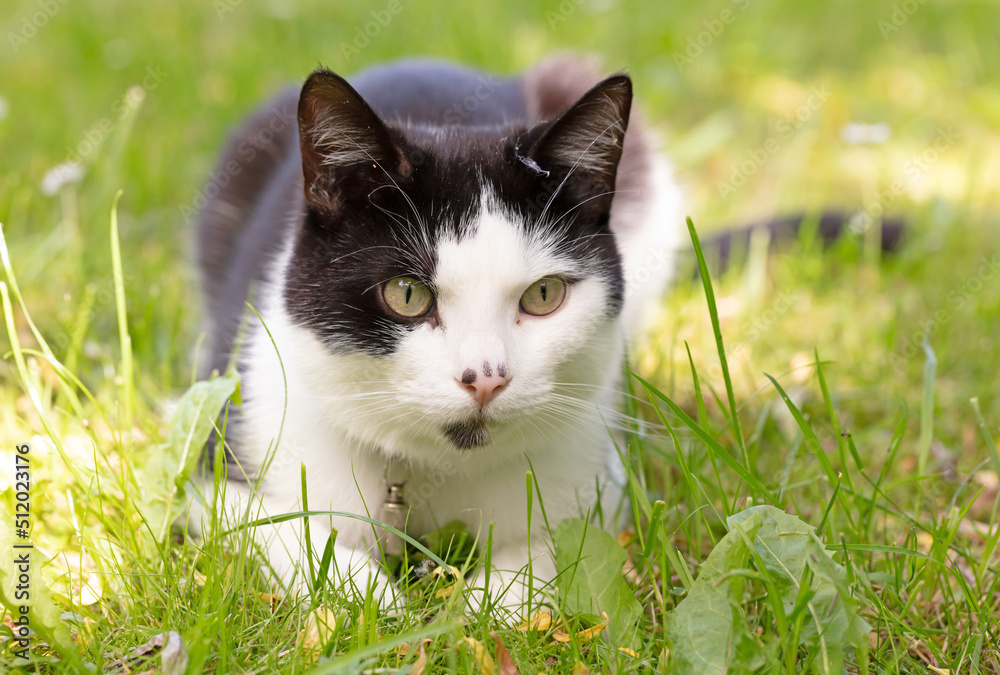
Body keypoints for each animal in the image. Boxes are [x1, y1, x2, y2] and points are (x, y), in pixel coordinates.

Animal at [193, 55, 688, 608]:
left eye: (544, 294)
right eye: (407, 294)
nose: (486, 378)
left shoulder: (602, 487)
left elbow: (554, 548)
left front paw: (482, 606)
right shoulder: (222, 470)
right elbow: (279, 532)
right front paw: (372, 600)